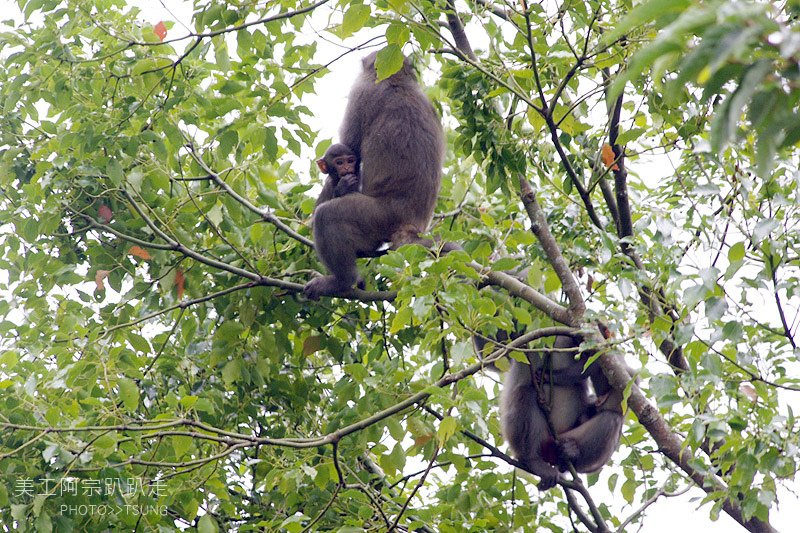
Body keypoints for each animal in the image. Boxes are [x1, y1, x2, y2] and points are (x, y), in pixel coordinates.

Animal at [304, 50, 446, 302]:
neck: (398, 80)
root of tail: (411, 226)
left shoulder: (362, 93)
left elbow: (350, 149)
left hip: (377, 218)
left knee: (327, 216)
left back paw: (341, 281)